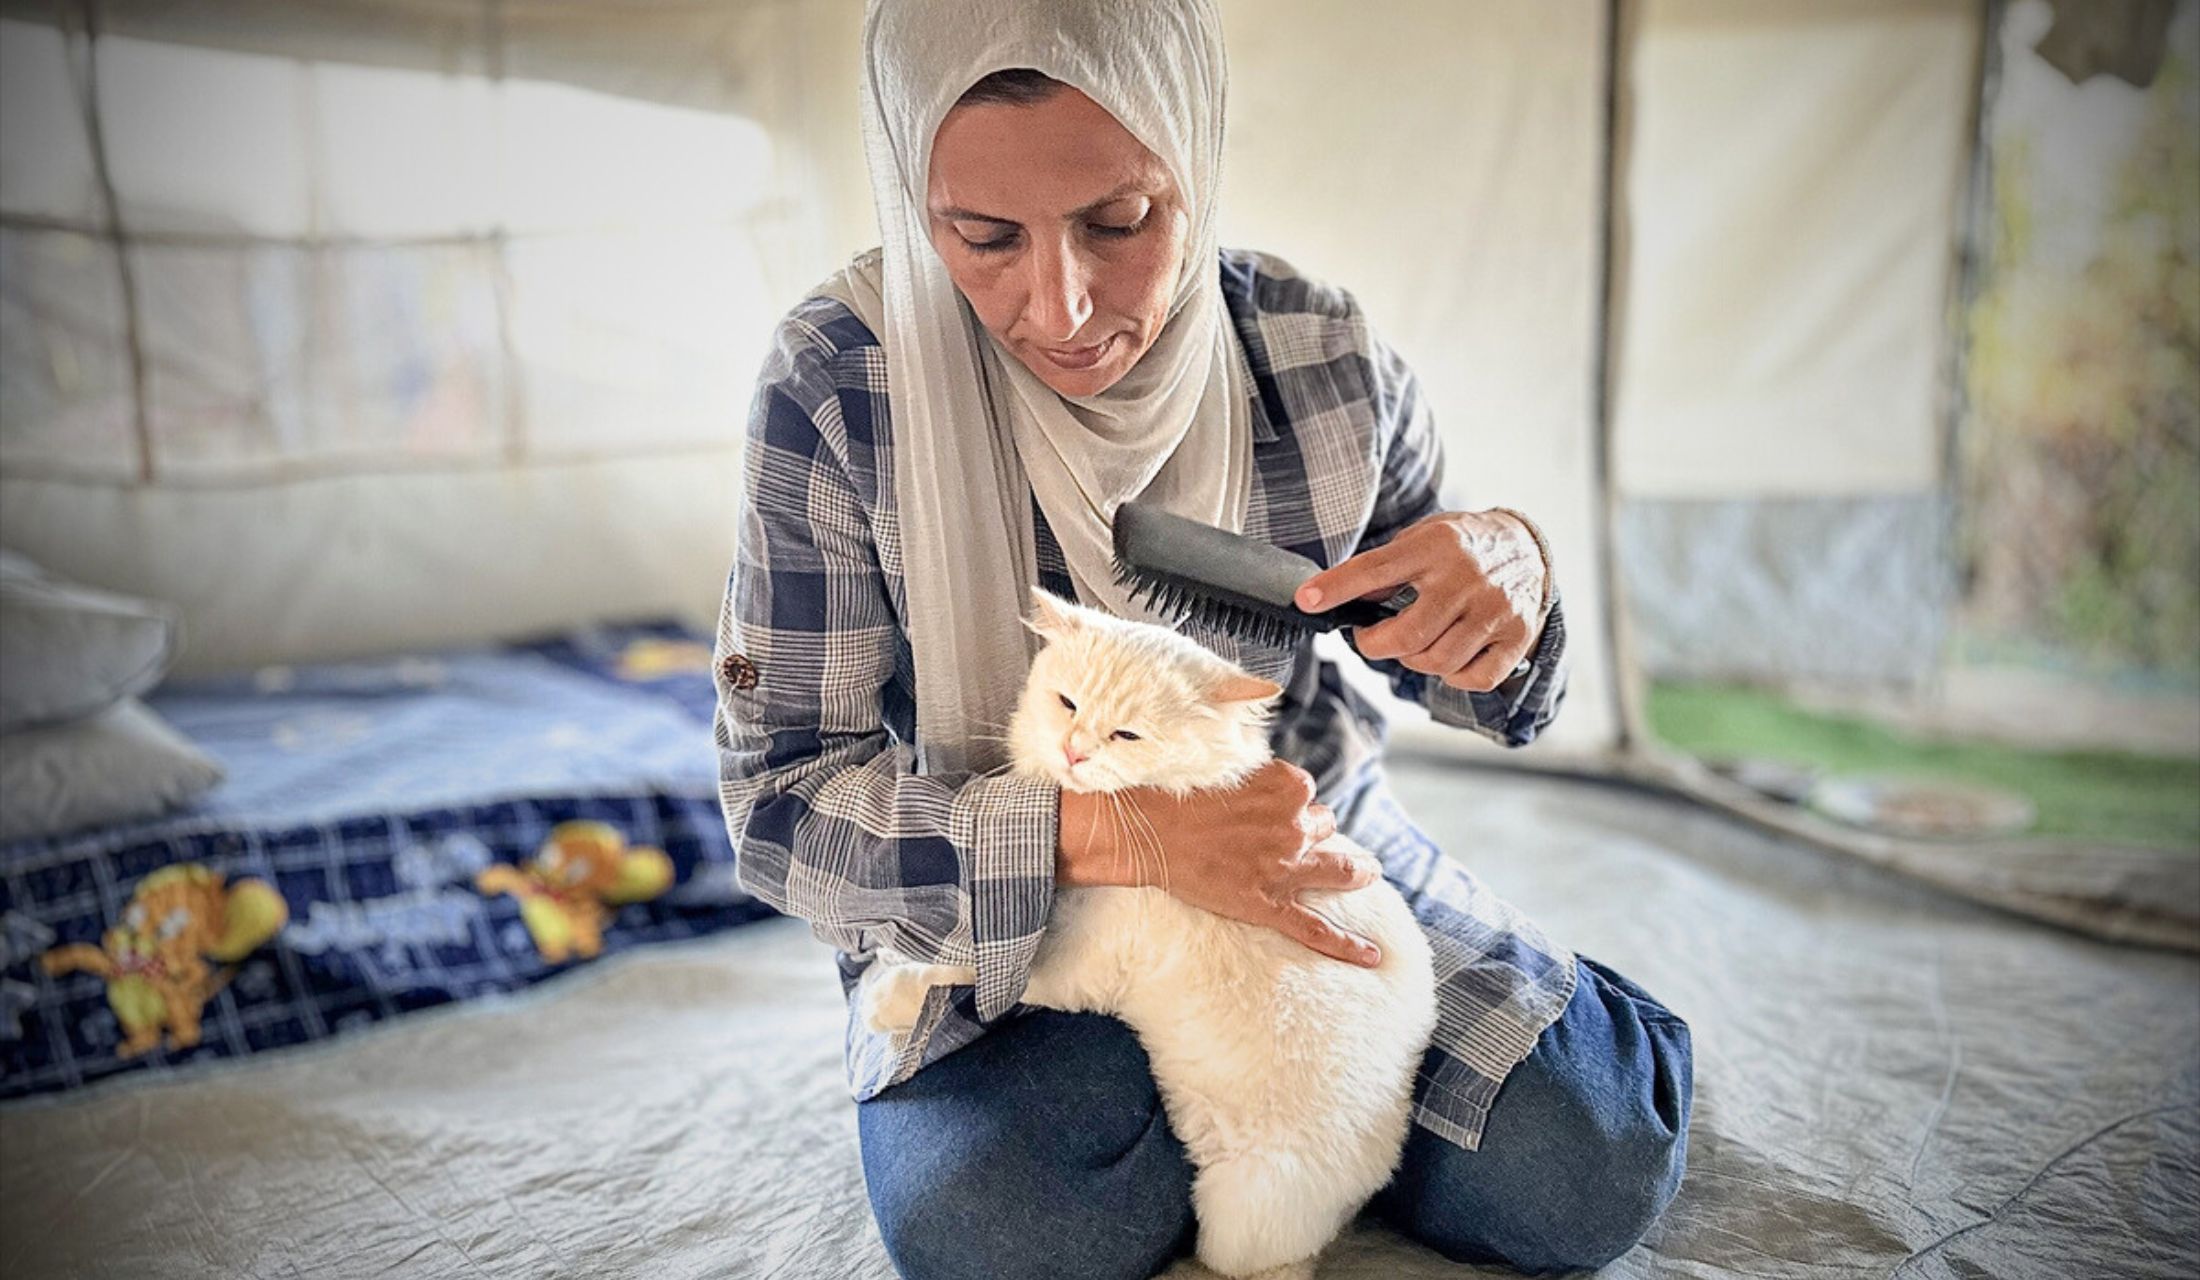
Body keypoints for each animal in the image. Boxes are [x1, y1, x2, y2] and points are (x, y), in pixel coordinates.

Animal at [858, 593, 1443, 1280]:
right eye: (1067, 703)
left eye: (1127, 735)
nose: (1074, 750)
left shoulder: (1072, 968)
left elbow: (973, 970)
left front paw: (888, 996)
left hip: (1241, 1209)